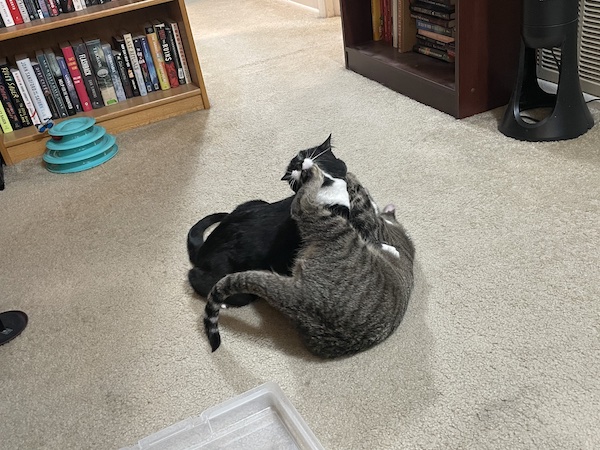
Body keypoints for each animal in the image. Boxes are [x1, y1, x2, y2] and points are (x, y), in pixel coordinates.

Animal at [204, 162, 414, 358]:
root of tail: (301, 296)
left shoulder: (368, 222)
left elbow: (361, 199)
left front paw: (351, 180)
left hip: (334, 227)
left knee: (301, 205)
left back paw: (315, 175)